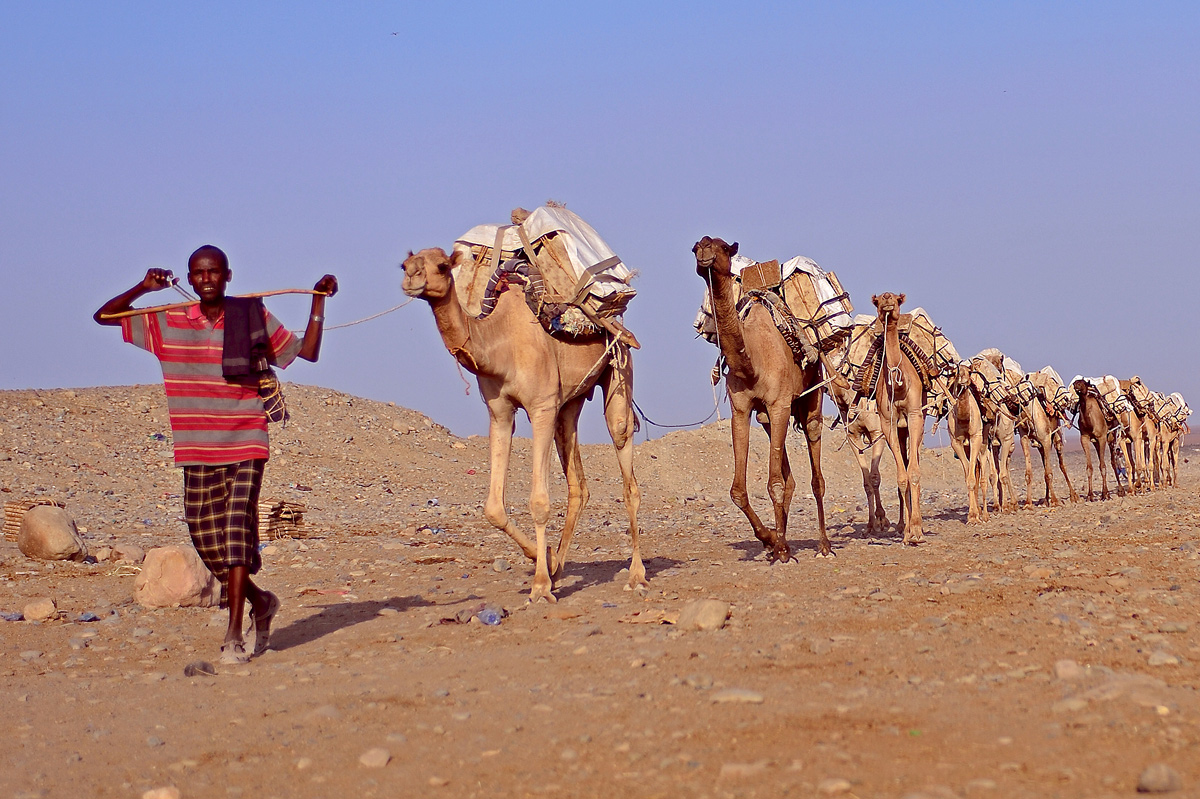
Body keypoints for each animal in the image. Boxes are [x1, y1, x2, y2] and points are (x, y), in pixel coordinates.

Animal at [400, 245, 648, 599]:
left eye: (443, 266)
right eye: (404, 264)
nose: (412, 277)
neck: (499, 343)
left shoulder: (541, 407)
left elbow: (539, 501)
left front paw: (541, 585)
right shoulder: (500, 412)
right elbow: (493, 508)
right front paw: (547, 560)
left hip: (620, 365)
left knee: (625, 457)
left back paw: (636, 575)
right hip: (570, 402)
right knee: (578, 482)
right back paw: (559, 565)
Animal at [691, 236, 830, 559]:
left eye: (723, 248)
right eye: (695, 247)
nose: (704, 253)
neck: (752, 360)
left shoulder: (779, 404)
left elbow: (774, 483)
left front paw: (779, 546)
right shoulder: (742, 410)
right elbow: (739, 490)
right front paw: (770, 540)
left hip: (811, 396)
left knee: (815, 474)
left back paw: (823, 544)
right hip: (769, 418)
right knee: (790, 478)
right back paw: (782, 540)